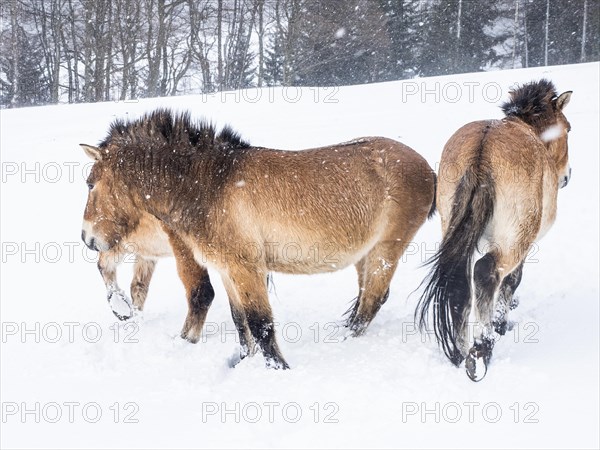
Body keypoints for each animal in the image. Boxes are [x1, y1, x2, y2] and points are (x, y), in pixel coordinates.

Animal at [81, 110, 436, 370]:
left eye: (90, 183)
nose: (87, 238)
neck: (209, 185)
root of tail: (428, 169)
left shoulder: (246, 268)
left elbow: (260, 324)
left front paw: (278, 370)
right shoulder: (227, 270)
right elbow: (241, 323)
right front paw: (241, 363)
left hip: (385, 250)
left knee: (371, 301)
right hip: (366, 253)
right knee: (366, 298)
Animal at [418, 80, 572, 380]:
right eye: (568, 129)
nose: (567, 176)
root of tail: (482, 151)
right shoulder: (522, 243)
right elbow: (512, 280)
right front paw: (502, 323)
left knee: (460, 282)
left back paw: (460, 351)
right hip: (514, 239)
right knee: (485, 273)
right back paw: (481, 349)